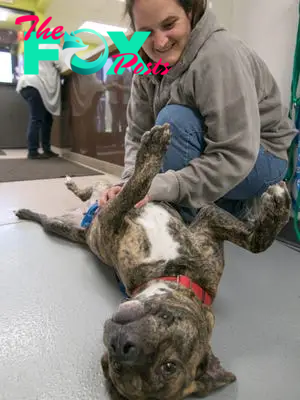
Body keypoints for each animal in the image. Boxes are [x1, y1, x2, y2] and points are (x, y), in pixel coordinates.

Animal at [14, 124, 290, 400]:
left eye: (168, 366)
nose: (122, 346)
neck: (175, 273)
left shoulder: (120, 221)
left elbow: (134, 189)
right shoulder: (203, 223)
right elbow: (135, 187)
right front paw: (152, 151)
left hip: (67, 227)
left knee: (77, 203)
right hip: (82, 206)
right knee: (92, 191)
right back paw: (45, 199)